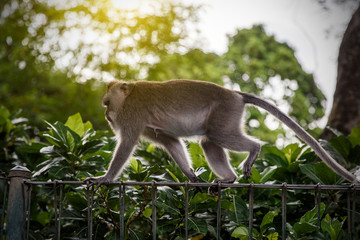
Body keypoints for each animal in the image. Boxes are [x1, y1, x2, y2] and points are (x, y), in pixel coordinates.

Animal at [85, 79, 360, 192]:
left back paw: (254, 150)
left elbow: (127, 144)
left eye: (107, 103)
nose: (108, 115)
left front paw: (105, 178)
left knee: (217, 134)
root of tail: (236, 94)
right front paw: (190, 176)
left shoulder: (132, 115)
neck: (128, 96)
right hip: (228, 112)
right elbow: (171, 141)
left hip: (225, 111)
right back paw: (229, 178)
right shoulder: (145, 123)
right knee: (209, 141)